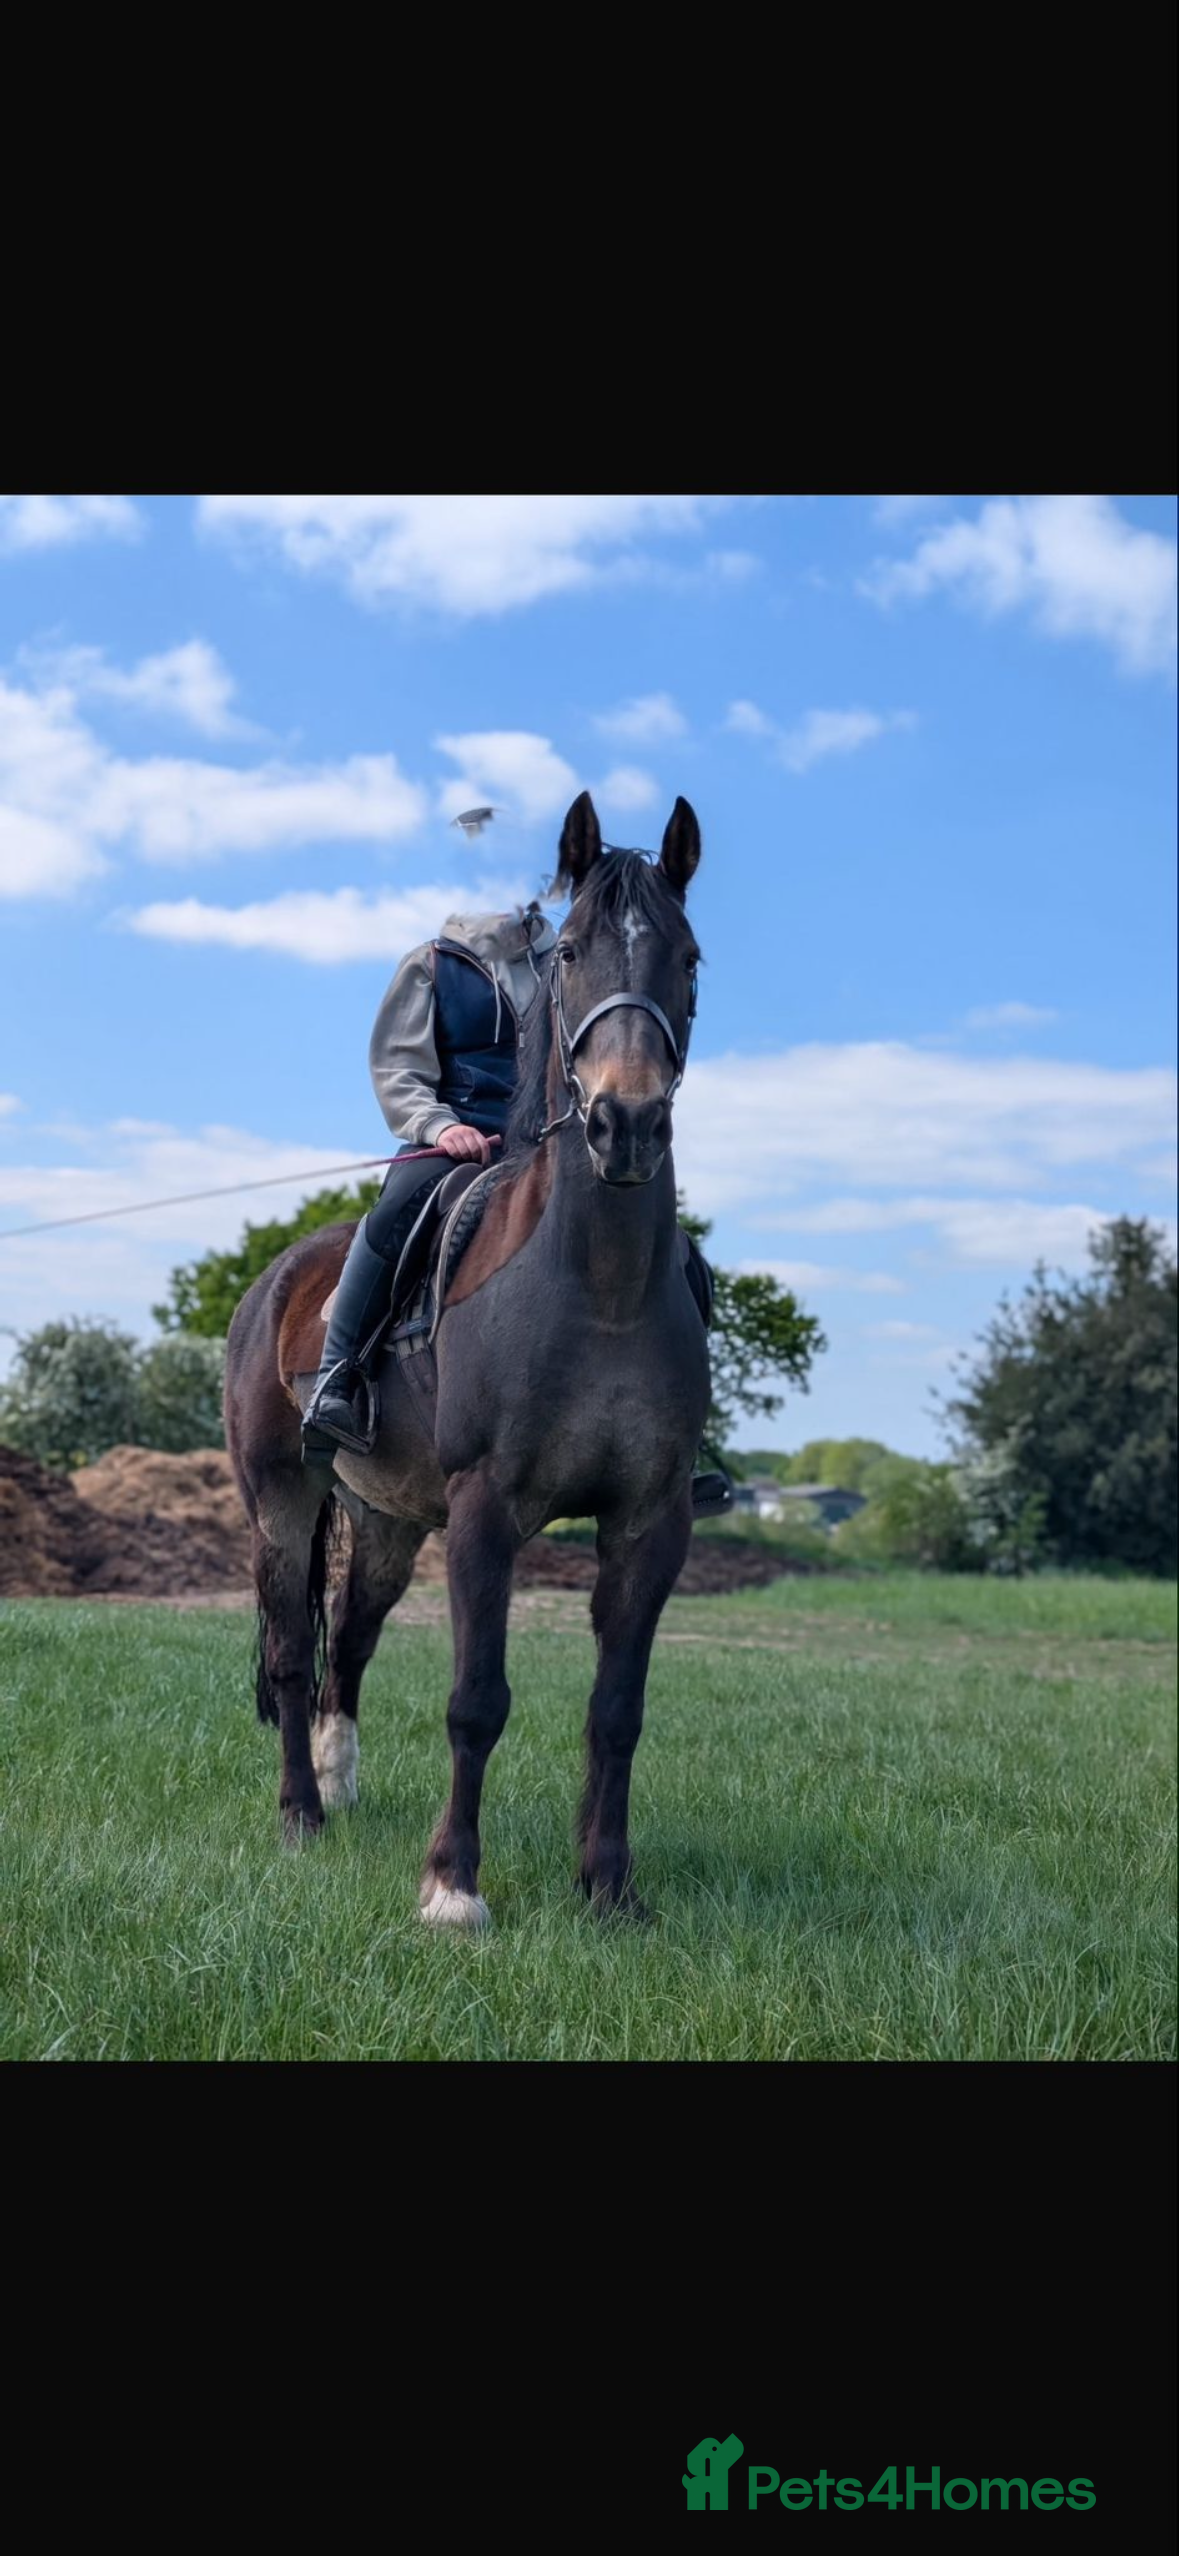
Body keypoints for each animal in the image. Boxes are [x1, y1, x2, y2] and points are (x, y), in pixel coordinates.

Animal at [223, 789, 710, 1925]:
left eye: (689, 957)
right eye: (570, 952)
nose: (626, 1122)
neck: (599, 1290)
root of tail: (274, 1283)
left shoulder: (650, 1522)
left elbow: (617, 1710)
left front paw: (609, 1886)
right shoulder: (487, 1509)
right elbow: (475, 1700)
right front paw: (453, 1888)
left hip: (389, 1521)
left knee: (348, 1644)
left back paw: (340, 1784)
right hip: (282, 1499)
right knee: (290, 1652)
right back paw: (302, 1815)